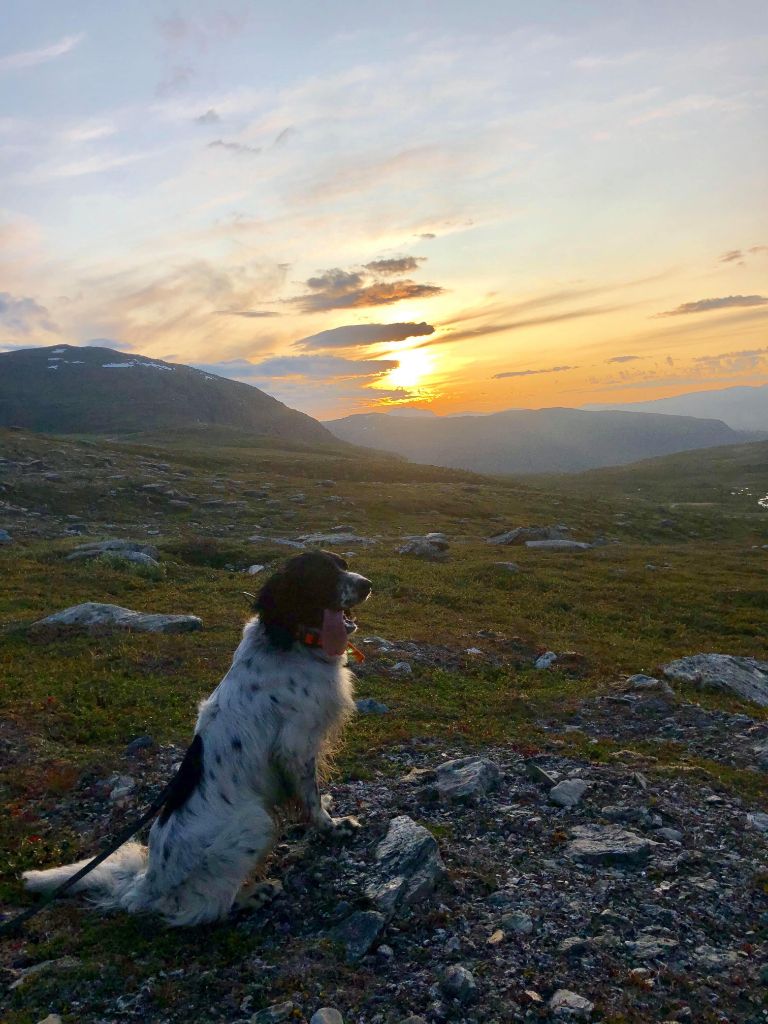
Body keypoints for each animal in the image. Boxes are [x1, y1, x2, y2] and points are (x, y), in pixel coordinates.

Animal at [23, 550, 372, 927]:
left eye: (343, 565)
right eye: (322, 575)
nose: (367, 585)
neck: (291, 639)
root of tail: (148, 883)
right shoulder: (296, 745)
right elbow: (310, 794)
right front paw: (332, 826)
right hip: (256, 821)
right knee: (198, 906)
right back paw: (252, 894)